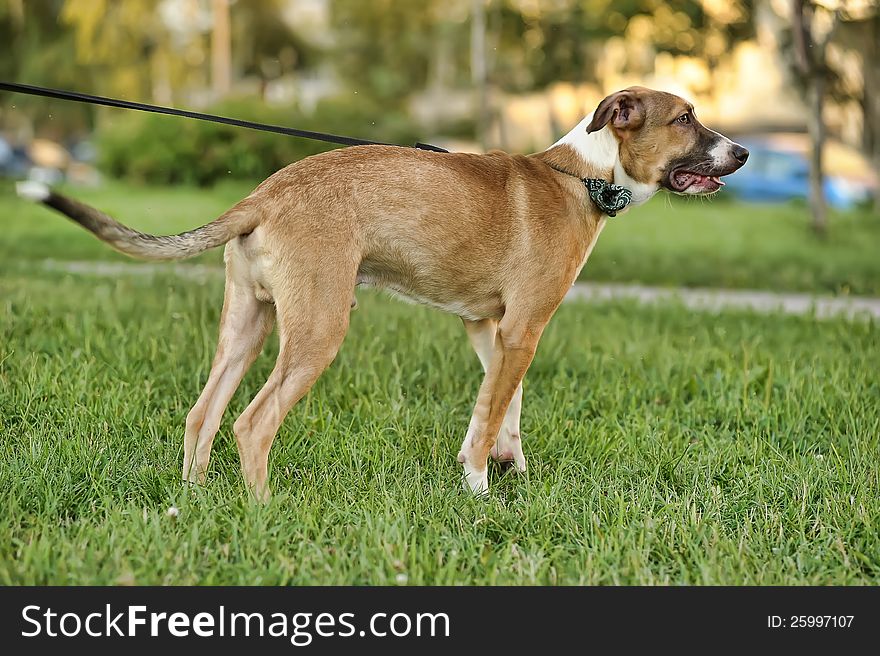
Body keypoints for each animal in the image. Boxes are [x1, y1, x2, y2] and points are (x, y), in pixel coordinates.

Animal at [17, 87, 748, 498]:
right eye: (685, 118)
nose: (742, 154)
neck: (583, 177)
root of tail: (265, 193)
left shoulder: (491, 330)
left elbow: (499, 408)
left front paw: (506, 469)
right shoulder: (523, 329)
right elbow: (492, 414)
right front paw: (480, 494)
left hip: (248, 323)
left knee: (204, 414)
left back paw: (194, 504)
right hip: (318, 329)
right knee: (252, 424)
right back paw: (264, 514)